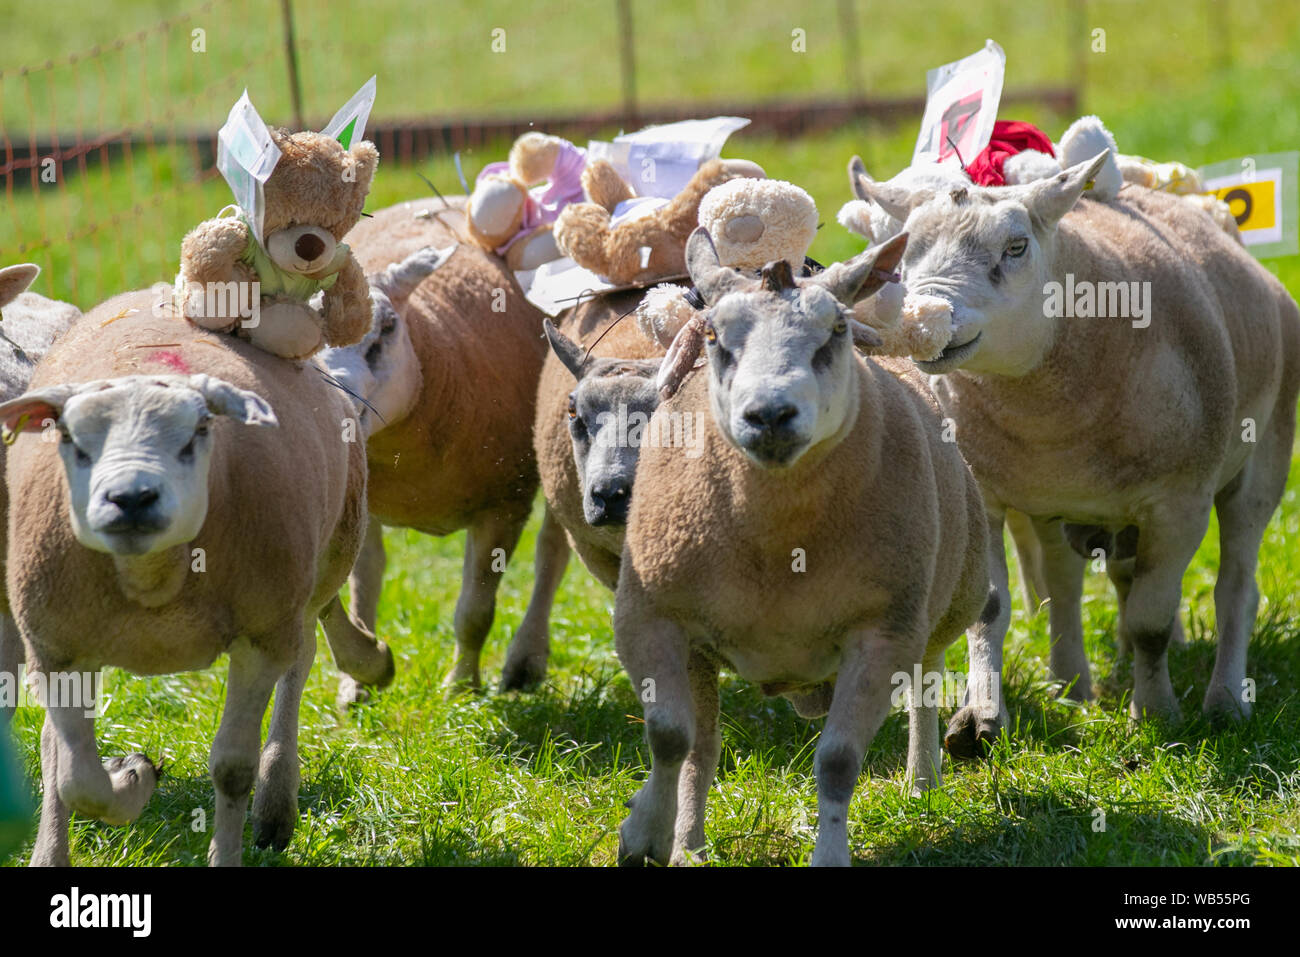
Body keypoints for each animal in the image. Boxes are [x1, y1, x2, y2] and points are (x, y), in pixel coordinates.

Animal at [3, 287, 371, 863]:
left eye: (198, 432)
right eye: (73, 441)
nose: (132, 499)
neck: (153, 578)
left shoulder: (260, 636)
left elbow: (233, 769)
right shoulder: (57, 649)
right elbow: (77, 781)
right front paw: (133, 775)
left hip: (320, 570)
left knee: (300, 662)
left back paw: (276, 804)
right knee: (54, 751)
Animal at [314, 197, 569, 696]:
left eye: (388, 328)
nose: (342, 414)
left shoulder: (504, 502)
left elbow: (475, 610)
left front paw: (462, 686)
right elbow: (335, 593)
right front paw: (366, 669)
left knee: (552, 550)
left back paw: (525, 662)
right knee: (369, 573)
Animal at [613, 231, 987, 868]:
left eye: (834, 330)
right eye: (713, 337)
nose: (769, 414)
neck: (777, 542)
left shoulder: (883, 631)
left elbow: (837, 761)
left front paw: (830, 853)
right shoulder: (651, 614)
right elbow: (671, 739)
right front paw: (647, 836)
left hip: (941, 603)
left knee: (926, 682)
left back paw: (923, 782)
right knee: (702, 747)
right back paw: (690, 843)